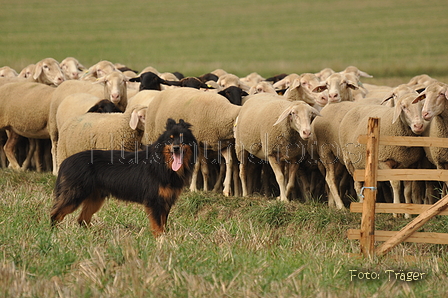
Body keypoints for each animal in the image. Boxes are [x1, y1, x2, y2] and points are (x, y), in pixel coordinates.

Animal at [50, 117, 197, 236]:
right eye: (170, 139)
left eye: (183, 139)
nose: (176, 148)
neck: (162, 164)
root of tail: (66, 161)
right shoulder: (154, 201)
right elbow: (158, 226)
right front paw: (160, 241)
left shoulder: (166, 201)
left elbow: (163, 224)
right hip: (75, 195)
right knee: (55, 214)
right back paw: (53, 234)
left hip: (95, 198)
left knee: (82, 219)